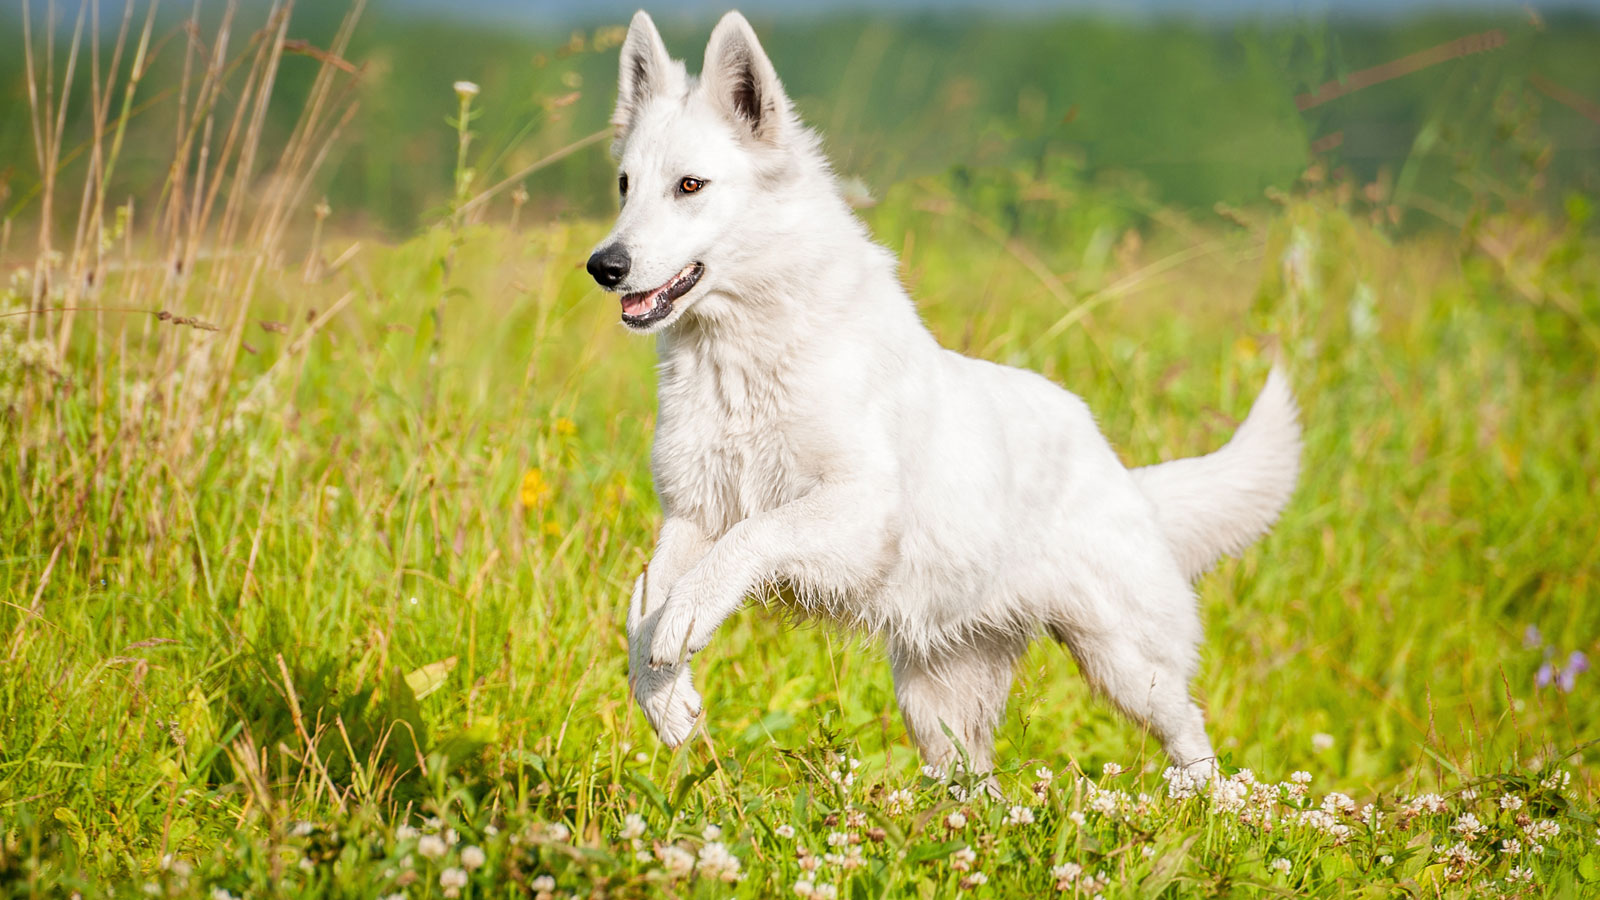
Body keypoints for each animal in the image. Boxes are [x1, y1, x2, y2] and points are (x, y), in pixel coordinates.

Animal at [588, 10, 1299, 775]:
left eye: (690, 186)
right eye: (625, 185)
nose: (603, 266)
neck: (748, 351)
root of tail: (1125, 477)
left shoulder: (852, 510)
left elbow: (751, 539)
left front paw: (687, 624)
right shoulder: (692, 515)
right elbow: (641, 605)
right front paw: (665, 697)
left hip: (1128, 665)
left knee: (1192, 735)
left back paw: (1209, 801)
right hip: (937, 709)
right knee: (978, 784)